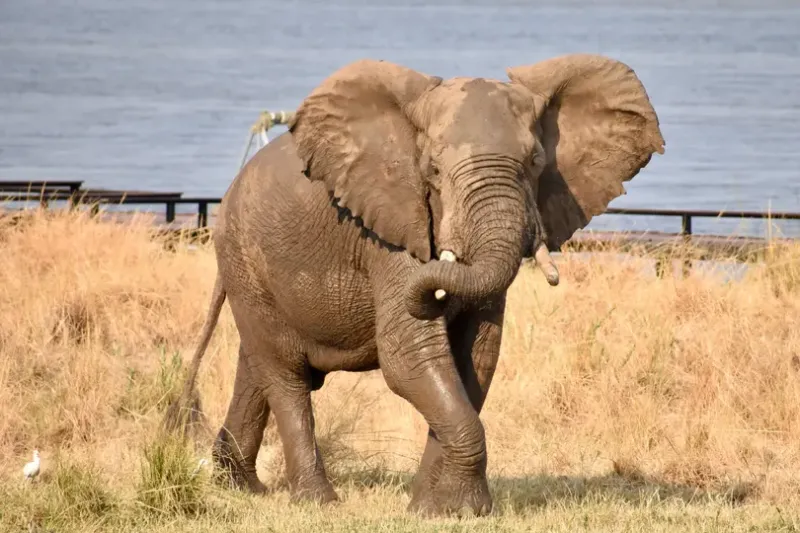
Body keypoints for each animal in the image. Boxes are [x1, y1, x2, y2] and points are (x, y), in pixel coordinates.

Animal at [164, 53, 665, 517]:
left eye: (535, 162)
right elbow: (408, 356)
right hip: (244, 257)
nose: (435, 295)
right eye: (435, 172)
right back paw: (318, 502)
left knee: (256, 365)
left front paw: (438, 509)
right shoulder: (392, 227)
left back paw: (241, 487)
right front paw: (459, 509)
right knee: (285, 374)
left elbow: (475, 358)